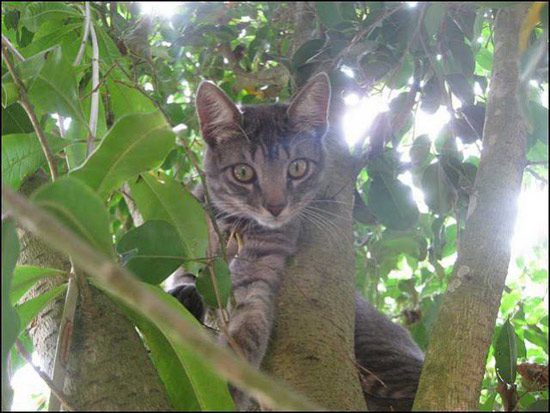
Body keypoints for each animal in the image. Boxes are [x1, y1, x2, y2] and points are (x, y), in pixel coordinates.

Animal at [170, 71, 424, 408]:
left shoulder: (257, 278)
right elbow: (183, 273)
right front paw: (186, 293)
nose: (276, 207)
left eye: (298, 168)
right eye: (242, 172)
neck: (232, 226)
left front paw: (226, 390)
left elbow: (247, 332)